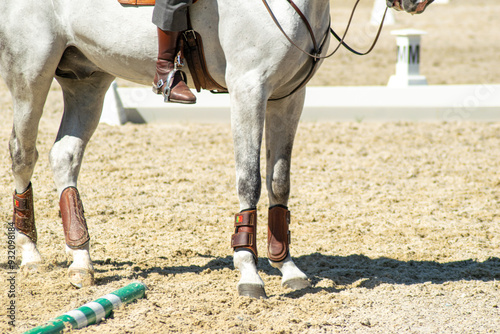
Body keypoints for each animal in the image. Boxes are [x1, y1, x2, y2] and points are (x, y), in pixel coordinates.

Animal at [0, 0, 432, 298]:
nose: (417, 3)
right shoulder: (249, 90)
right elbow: (249, 180)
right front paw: (249, 272)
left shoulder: (288, 97)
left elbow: (279, 181)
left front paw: (287, 268)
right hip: (31, 72)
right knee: (23, 153)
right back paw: (30, 255)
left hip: (87, 78)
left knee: (64, 156)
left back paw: (81, 261)